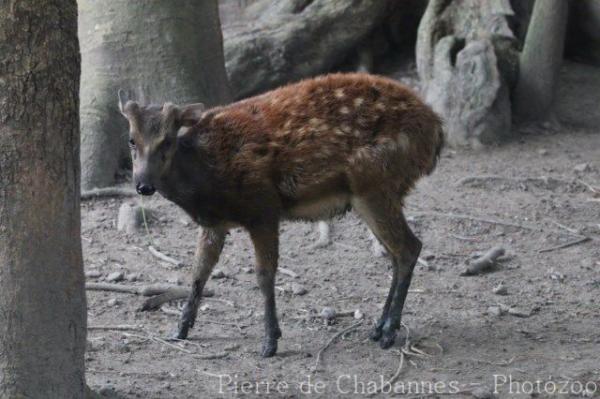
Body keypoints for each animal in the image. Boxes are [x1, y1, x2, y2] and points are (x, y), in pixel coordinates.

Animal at [119, 73, 442, 358]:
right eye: (132, 139)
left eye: (167, 140)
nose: (143, 185)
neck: (207, 182)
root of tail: (436, 131)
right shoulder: (214, 224)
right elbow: (199, 272)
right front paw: (180, 330)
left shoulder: (263, 208)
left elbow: (264, 276)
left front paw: (270, 342)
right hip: (373, 195)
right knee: (396, 253)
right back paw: (378, 327)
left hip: (374, 182)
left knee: (408, 248)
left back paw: (388, 332)